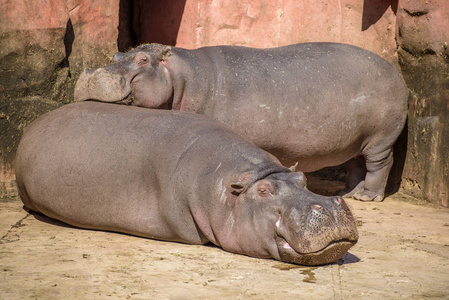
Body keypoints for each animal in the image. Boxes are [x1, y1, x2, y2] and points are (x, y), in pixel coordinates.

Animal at [75, 42, 408, 202]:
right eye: (116, 54)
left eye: (143, 60)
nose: (90, 73)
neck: (183, 77)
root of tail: (395, 71)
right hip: (354, 140)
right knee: (357, 165)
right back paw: (346, 194)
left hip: (380, 138)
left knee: (380, 164)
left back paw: (368, 197)